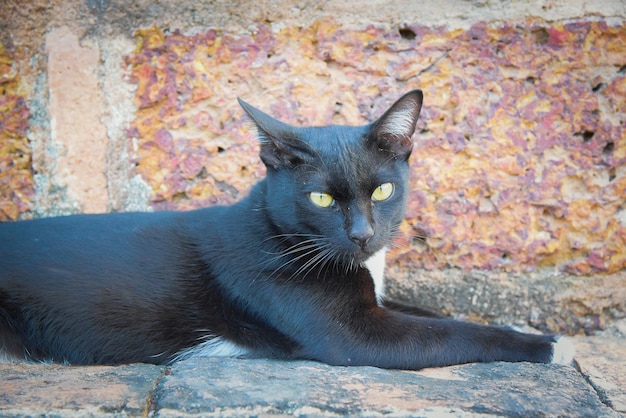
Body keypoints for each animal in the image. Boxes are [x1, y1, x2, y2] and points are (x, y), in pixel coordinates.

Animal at [0, 91, 572, 370]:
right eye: (321, 198)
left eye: (382, 191)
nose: (362, 234)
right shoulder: (354, 336)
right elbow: (456, 332)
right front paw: (548, 345)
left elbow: (440, 314)